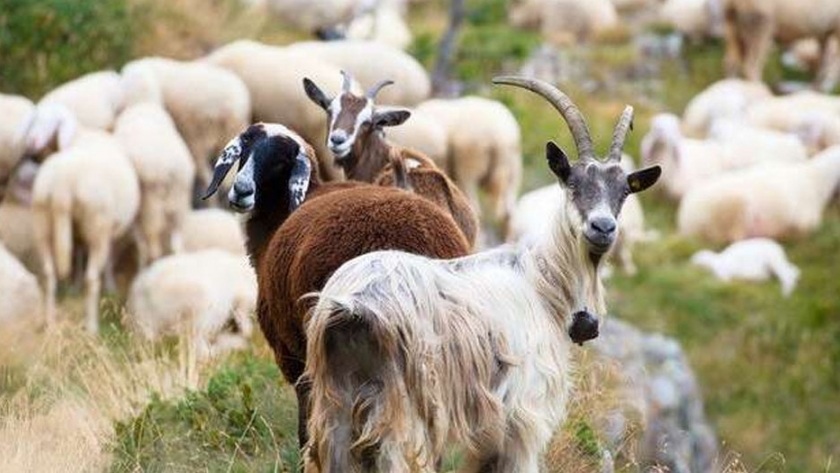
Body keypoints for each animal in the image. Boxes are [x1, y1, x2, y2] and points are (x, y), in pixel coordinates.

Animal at [32, 115, 140, 333]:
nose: (34, 147)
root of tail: (63, 186)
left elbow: (80, 256)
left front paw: (75, 287)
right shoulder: (106, 229)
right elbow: (105, 261)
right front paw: (110, 286)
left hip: (42, 223)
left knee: (48, 275)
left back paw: (50, 324)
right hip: (97, 225)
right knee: (91, 279)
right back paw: (91, 327)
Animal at [114, 103, 195, 267]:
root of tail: (171, 169)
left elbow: (141, 245)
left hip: (152, 209)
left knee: (153, 248)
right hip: (179, 206)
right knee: (175, 245)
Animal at [125, 250, 256, 358]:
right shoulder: (243, 294)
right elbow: (243, 311)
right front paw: (246, 331)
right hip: (198, 302)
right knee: (195, 340)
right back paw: (222, 348)